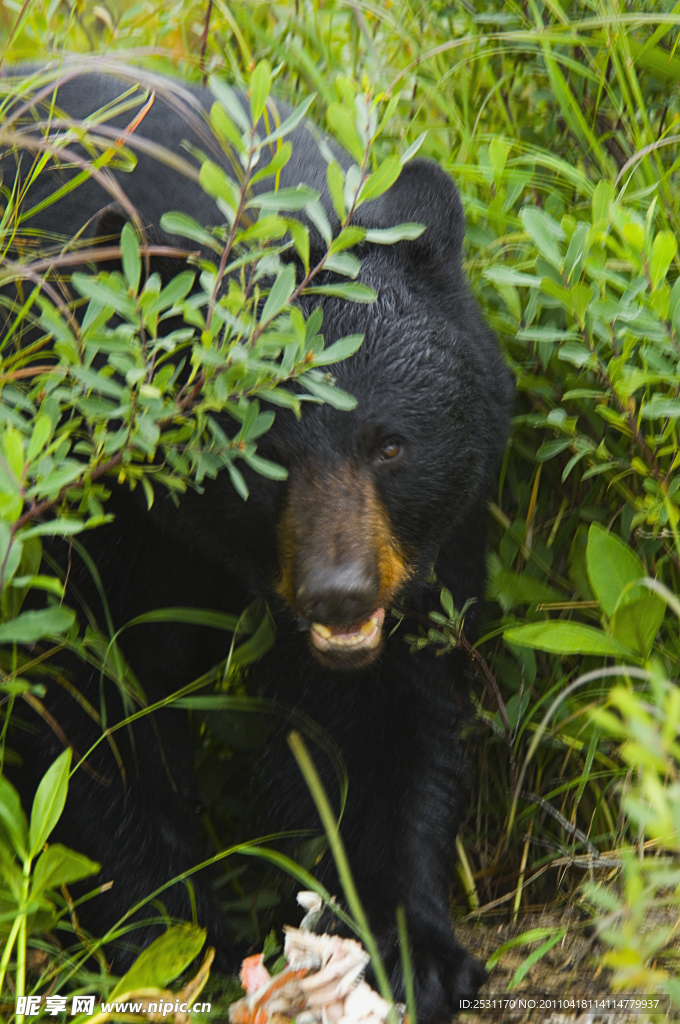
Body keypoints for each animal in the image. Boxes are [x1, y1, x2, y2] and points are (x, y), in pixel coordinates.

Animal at [5, 61, 512, 1015]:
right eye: (261, 454)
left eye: (390, 444)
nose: (339, 593)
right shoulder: (82, 501)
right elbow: (87, 699)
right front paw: (176, 935)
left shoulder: (438, 531)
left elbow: (376, 724)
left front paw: (412, 949)